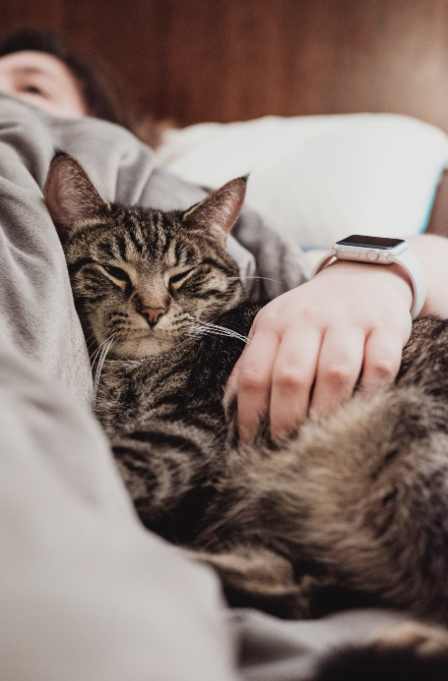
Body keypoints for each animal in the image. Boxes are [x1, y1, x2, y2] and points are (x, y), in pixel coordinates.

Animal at [44, 151, 448, 676]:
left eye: (183, 276)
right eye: (114, 270)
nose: (153, 310)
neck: (130, 370)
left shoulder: (189, 428)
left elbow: (116, 465)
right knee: (292, 588)